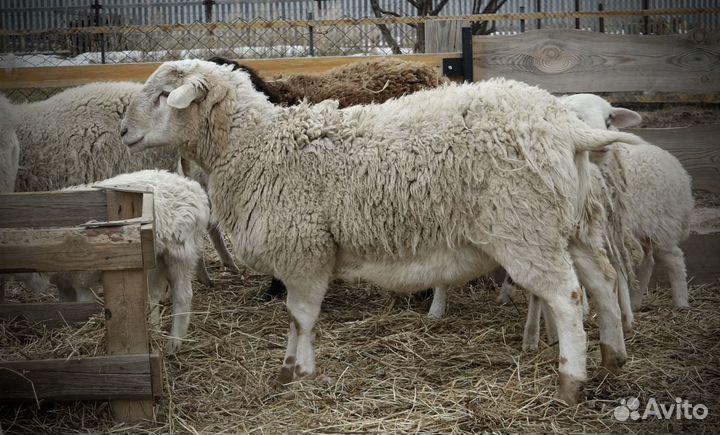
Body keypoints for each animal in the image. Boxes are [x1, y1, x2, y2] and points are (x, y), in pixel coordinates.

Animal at [30, 170, 210, 354]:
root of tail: (195, 189)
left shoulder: (83, 282)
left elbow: (83, 309)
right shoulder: (64, 284)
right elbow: (64, 308)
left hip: (180, 252)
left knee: (183, 296)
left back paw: (174, 342)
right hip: (157, 257)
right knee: (154, 292)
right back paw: (155, 330)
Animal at [120, 59, 645, 404]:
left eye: (164, 96)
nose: (124, 133)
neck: (258, 143)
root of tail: (568, 127)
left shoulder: (303, 246)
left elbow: (302, 316)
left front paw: (298, 371)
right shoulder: (298, 254)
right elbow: (294, 317)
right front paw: (289, 369)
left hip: (525, 226)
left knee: (568, 297)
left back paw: (571, 382)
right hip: (573, 224)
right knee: (603, 280)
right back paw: (613, 359)